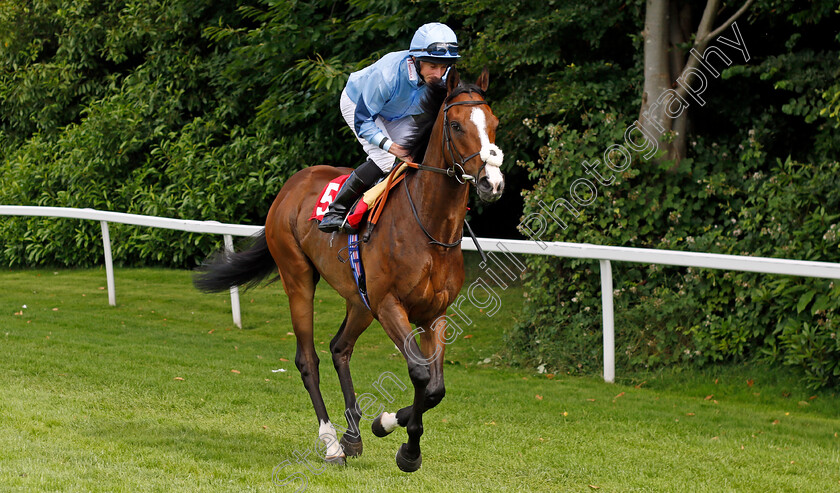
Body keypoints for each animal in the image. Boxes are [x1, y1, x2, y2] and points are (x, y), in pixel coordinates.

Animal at [194, 67, 502, 470]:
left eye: (494, 124)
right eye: (455, 125)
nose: (492, 183)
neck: (429, 227)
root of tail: (291, 185)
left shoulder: (434, 313)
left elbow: (435, 388)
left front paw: (385, 423)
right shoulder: (389, 305)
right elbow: (419, 373)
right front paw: (408, 451)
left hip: (358, 300)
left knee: (340, 348)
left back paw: (353, 435)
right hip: (299, 278)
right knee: (307, 359)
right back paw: (331, 442)